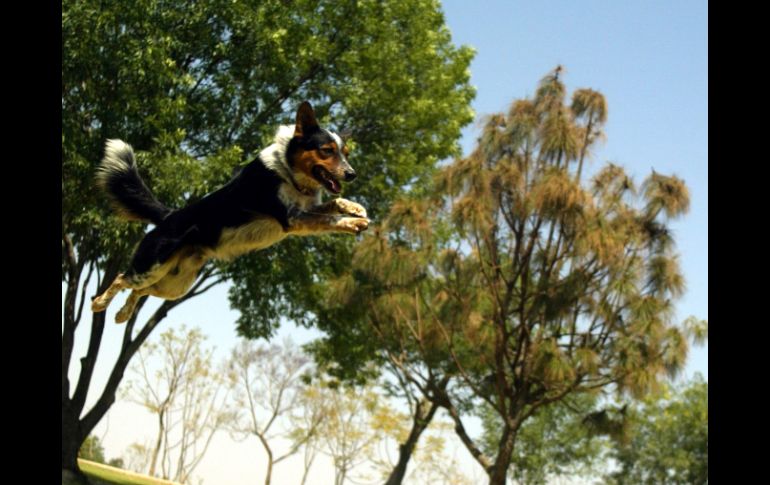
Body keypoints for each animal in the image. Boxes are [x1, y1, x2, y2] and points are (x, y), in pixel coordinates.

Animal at [91, 100, 368, 322]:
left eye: (345, 153)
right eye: (326, 150)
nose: (352, 174)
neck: (288, 171)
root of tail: (170, 216)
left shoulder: (305, 211)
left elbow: (335, 203)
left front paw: (356, 208)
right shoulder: (292, 218)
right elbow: (331, 218)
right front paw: (352, 223)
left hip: (174, 284)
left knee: (139, 289)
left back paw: (122, 314)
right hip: (153, 265)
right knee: (122, 278)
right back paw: (99, 303)